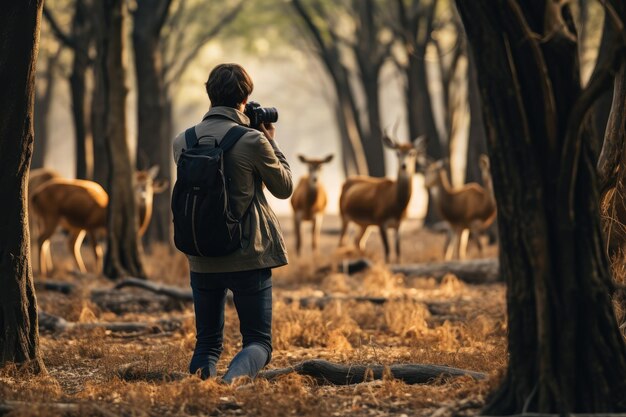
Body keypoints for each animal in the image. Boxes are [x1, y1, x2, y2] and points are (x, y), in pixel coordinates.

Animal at [30, 164, 167, 274]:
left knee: (68, 243)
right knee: (42, 239)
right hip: (50, 216)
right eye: (135, 184)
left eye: (149, 183)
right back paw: (42, 271)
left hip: (72, 225)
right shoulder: (92, 224)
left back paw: (79, 271)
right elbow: (98, 252)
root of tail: (36, 195)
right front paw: (98, 273)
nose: (143, 195)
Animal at [338, 132, 426, 262]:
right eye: (397, 152)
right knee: (342, 242)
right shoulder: (380, 221)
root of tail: (346, 181)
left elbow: (398, 251)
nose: (404, 166)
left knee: (357, 241)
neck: (397, 207)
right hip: (344, 215)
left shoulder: (399, 225)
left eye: (412, 153)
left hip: (364, 224)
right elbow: (387, 250)